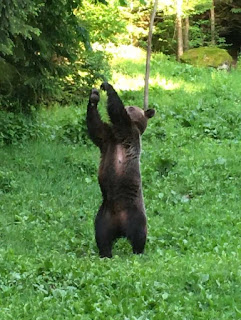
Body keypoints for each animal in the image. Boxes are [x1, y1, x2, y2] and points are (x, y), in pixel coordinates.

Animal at [86, 82, 154, 258]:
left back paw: (138, 251)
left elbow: (117, 113)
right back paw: (105, 253)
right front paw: (94, 97)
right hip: (104, 216)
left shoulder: (126, 132)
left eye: (132, 107)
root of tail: (120, 229)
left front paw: (107, 87)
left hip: (135, 213)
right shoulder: (106, 139)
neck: (115, 136)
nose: (129, 106)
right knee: (102, 236)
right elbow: (95, 126)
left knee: (139, 235)